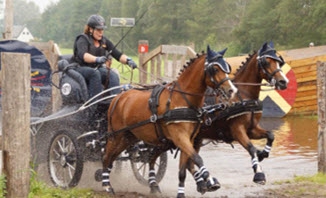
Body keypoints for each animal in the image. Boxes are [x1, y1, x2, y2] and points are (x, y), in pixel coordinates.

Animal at [101, 45, 237, 196]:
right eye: (215, 69)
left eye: (227, 68)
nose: (231, 90)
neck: (182, 99)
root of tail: (118, 98)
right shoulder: (180, 137)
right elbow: (197, 158)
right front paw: (210, 180)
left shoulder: (189, 139)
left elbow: (183, 170)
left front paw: (182, 193)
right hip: (116, 135)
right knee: (106, 157)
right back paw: (107, 186)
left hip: (129, 137)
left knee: (124, 157)